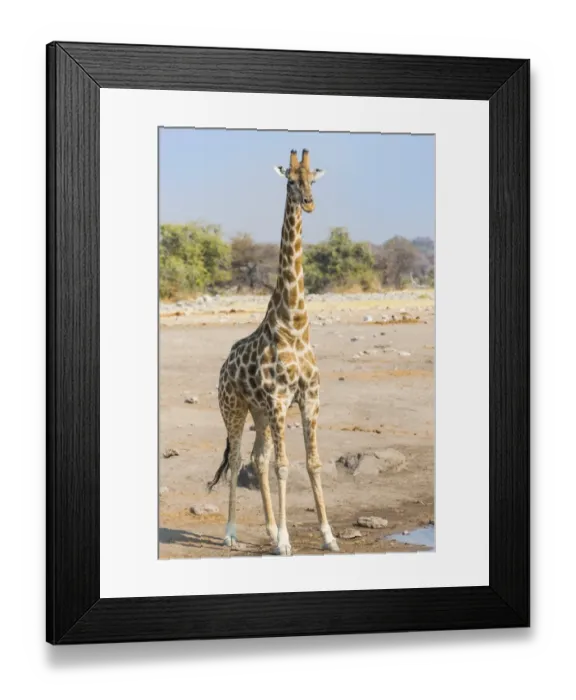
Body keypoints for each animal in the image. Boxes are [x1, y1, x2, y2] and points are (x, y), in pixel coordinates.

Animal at [208, 148, 339, 556]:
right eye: (290, 182)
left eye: (312, 179)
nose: (309, 202)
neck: (294, 324)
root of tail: (223, 366)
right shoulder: (281, 399)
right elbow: (285, 465)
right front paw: (285, 541)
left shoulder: (309, 398)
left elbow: (312, 463)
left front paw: (328, 536)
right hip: (234, 408)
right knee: (238, 458)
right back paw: (231, 533)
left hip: (260, 412)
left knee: (257, 458)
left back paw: (267, 529)